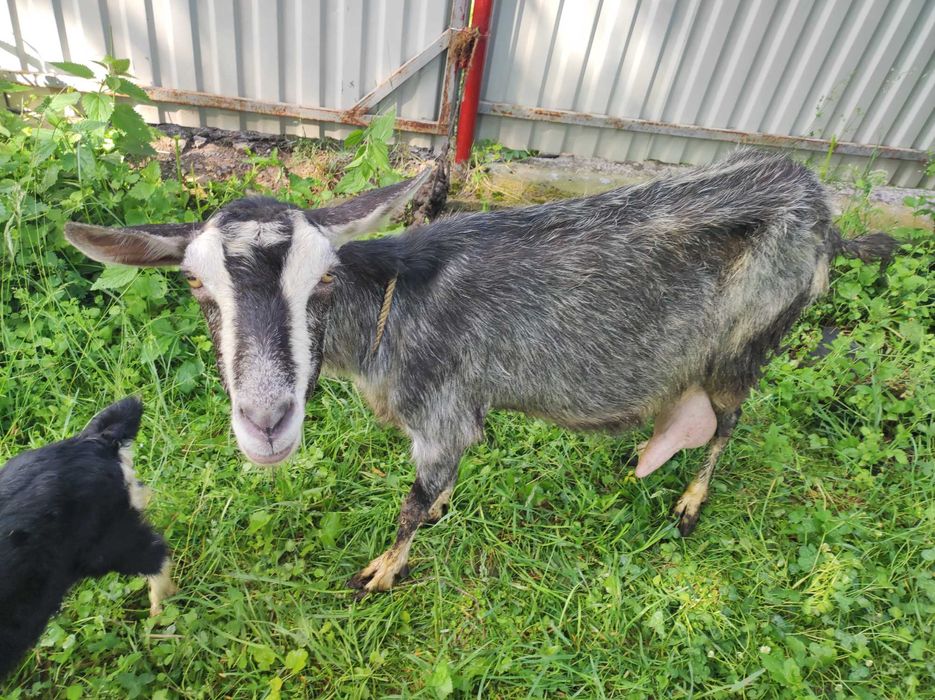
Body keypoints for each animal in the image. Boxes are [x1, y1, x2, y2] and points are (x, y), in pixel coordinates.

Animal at [65, 149, 897, 594]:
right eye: (196, 285)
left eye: (323, 280)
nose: (266, 421)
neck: (388, 309)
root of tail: (821, 210)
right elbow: (437, 490)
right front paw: (438, 513)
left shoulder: (442, 413)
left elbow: (411, 500)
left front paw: (381, 570)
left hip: (751, 337)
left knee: (729, 420)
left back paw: (690, 501)